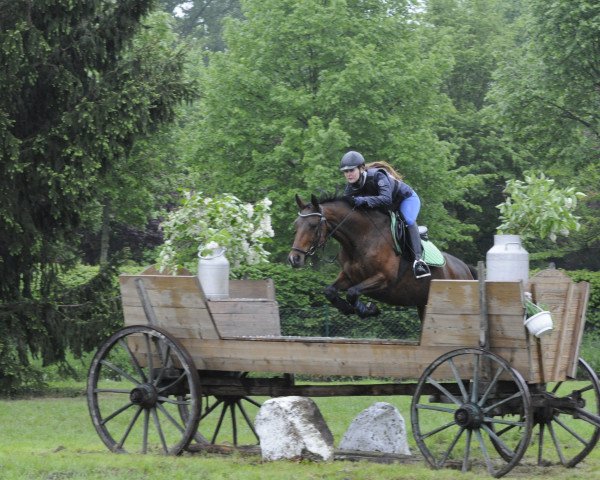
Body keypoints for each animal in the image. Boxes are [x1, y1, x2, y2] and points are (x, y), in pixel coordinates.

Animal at [288, 194, 476, 322]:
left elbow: (352, 292)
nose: (294, 259)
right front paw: (351, 309)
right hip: (423, 306)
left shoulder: (383, 279)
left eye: (313, 225)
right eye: (296, 225)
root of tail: (465, 269)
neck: (361, 239)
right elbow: (330, 291)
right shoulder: (350, 277)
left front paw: (367, 309)